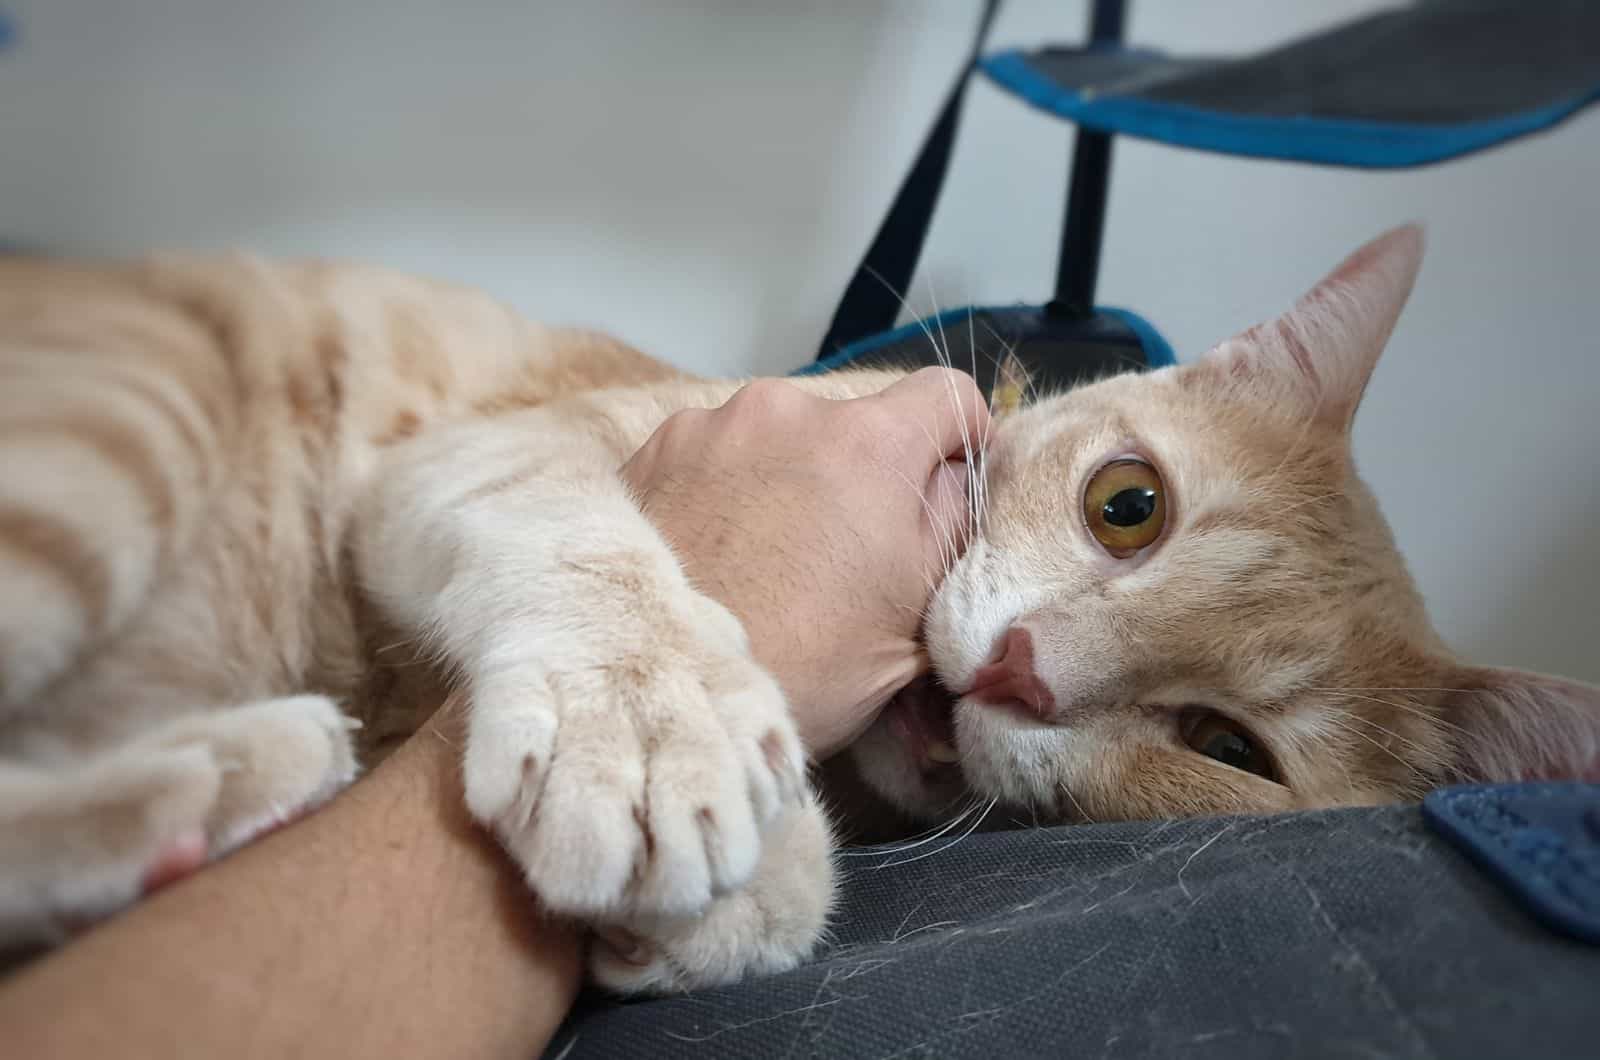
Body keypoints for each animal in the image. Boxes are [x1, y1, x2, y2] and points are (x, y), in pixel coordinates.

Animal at [0, 225, 1593, 999]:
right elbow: (587, 537)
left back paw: (211, 782)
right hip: (121, 431)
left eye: (1226, 749)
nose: (1024, 671)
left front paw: (737, 901)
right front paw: (650, 727)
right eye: (1129, 505)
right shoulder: (472, 458)